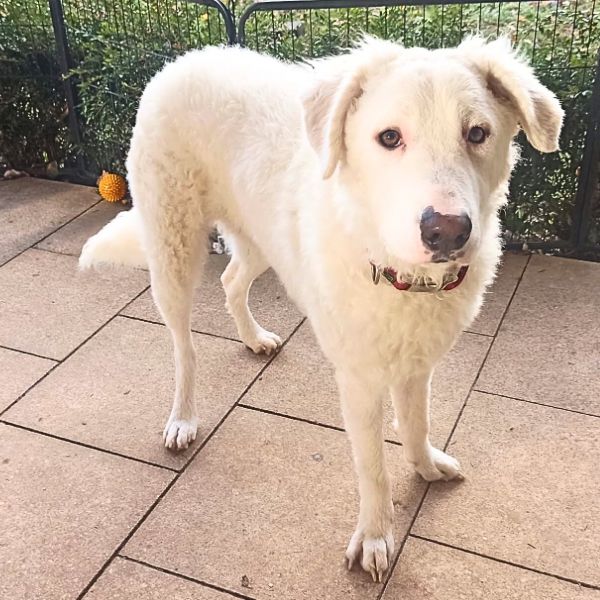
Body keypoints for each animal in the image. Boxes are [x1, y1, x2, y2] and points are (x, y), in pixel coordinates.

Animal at [80, 36, 563, 581]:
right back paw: (183, 418)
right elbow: (372, 468)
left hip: (260, 239)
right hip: (174, 250)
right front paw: (375, 537)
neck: (397, 270)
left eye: (477, 133)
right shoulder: (359, 381)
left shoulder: (417, 363)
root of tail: (185, 58)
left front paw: (425, 467)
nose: (448, 232)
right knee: (184, 347)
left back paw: (254, 339)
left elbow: (417, 425)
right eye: (389, 137)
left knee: (230, 281)